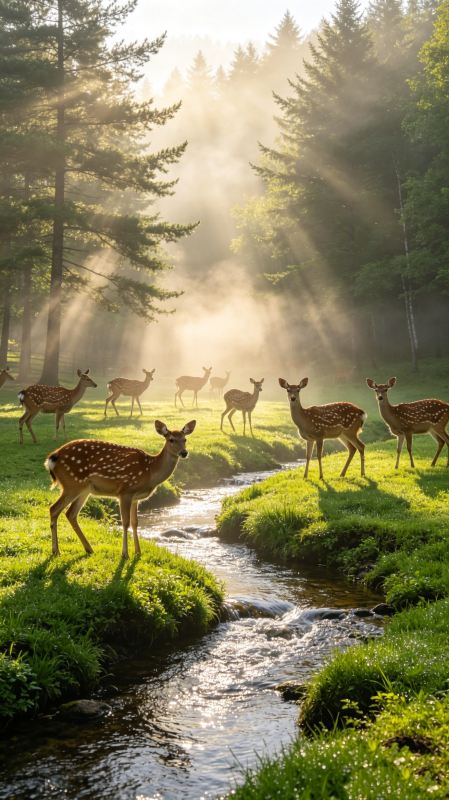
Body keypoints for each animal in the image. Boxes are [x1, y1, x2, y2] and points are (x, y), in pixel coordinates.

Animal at [45, 419, 196, 559]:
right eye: (171, 440)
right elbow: (125, 522)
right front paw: (125, 554)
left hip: (84, 489)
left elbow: (135, 523)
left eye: (185, 439)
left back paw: (89, 549)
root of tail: (52, 458)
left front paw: (138, 552)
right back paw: (56, 550)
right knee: (54, 509)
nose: (184, 452)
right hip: (72, 484)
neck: (150, 471)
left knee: (70, 513)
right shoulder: (126, 491)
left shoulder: (136, 498)